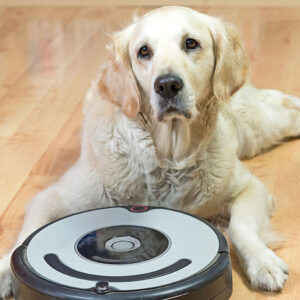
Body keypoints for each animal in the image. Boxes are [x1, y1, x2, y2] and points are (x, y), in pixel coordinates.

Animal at [0, 5, 300, 296]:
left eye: (191, 43)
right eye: (143, 51)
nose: (167, 85)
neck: (168, 159)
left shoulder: (248, 188)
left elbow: (240, 227)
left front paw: (263, 262)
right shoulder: (52, 197)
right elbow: (24, 238)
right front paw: (5, 270)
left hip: (258, 127)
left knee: (284, 107)